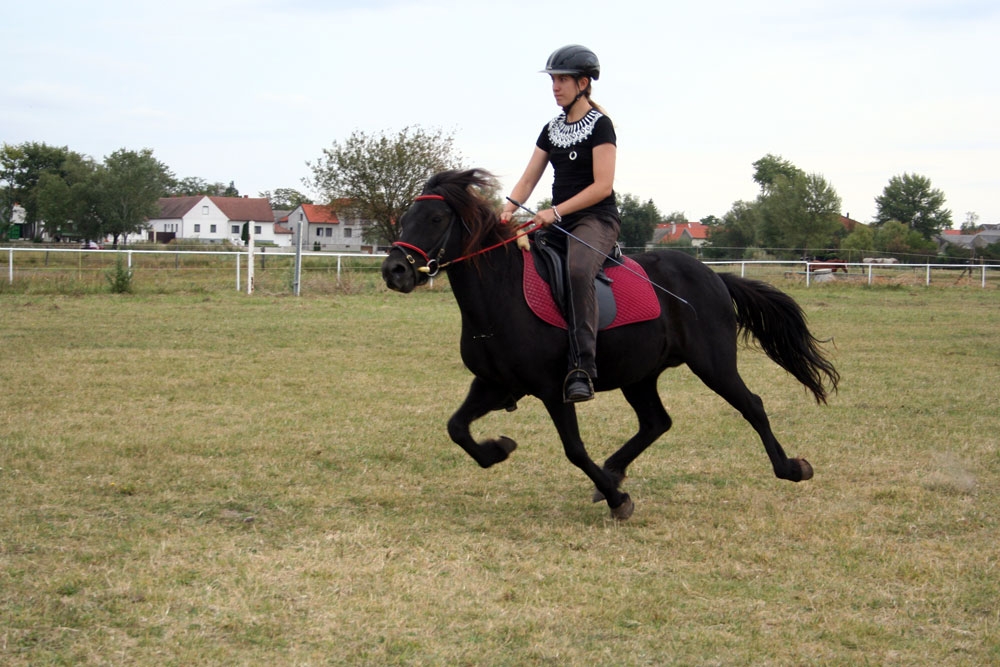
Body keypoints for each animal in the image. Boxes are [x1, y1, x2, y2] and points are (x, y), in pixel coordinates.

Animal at [378, 168, 840, 520]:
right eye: (406, 218)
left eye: (437, 219)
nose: (394, 270)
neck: (500, 296)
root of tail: (713, 276)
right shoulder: (494, 385)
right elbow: (457, 428)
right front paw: (498, 449)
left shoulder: (554, 389)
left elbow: (574, 450)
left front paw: (619, 501)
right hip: (641, 375)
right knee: (657, 422)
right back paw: (613, 472)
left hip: (713, 364)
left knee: (752, 406)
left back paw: (791, 468)